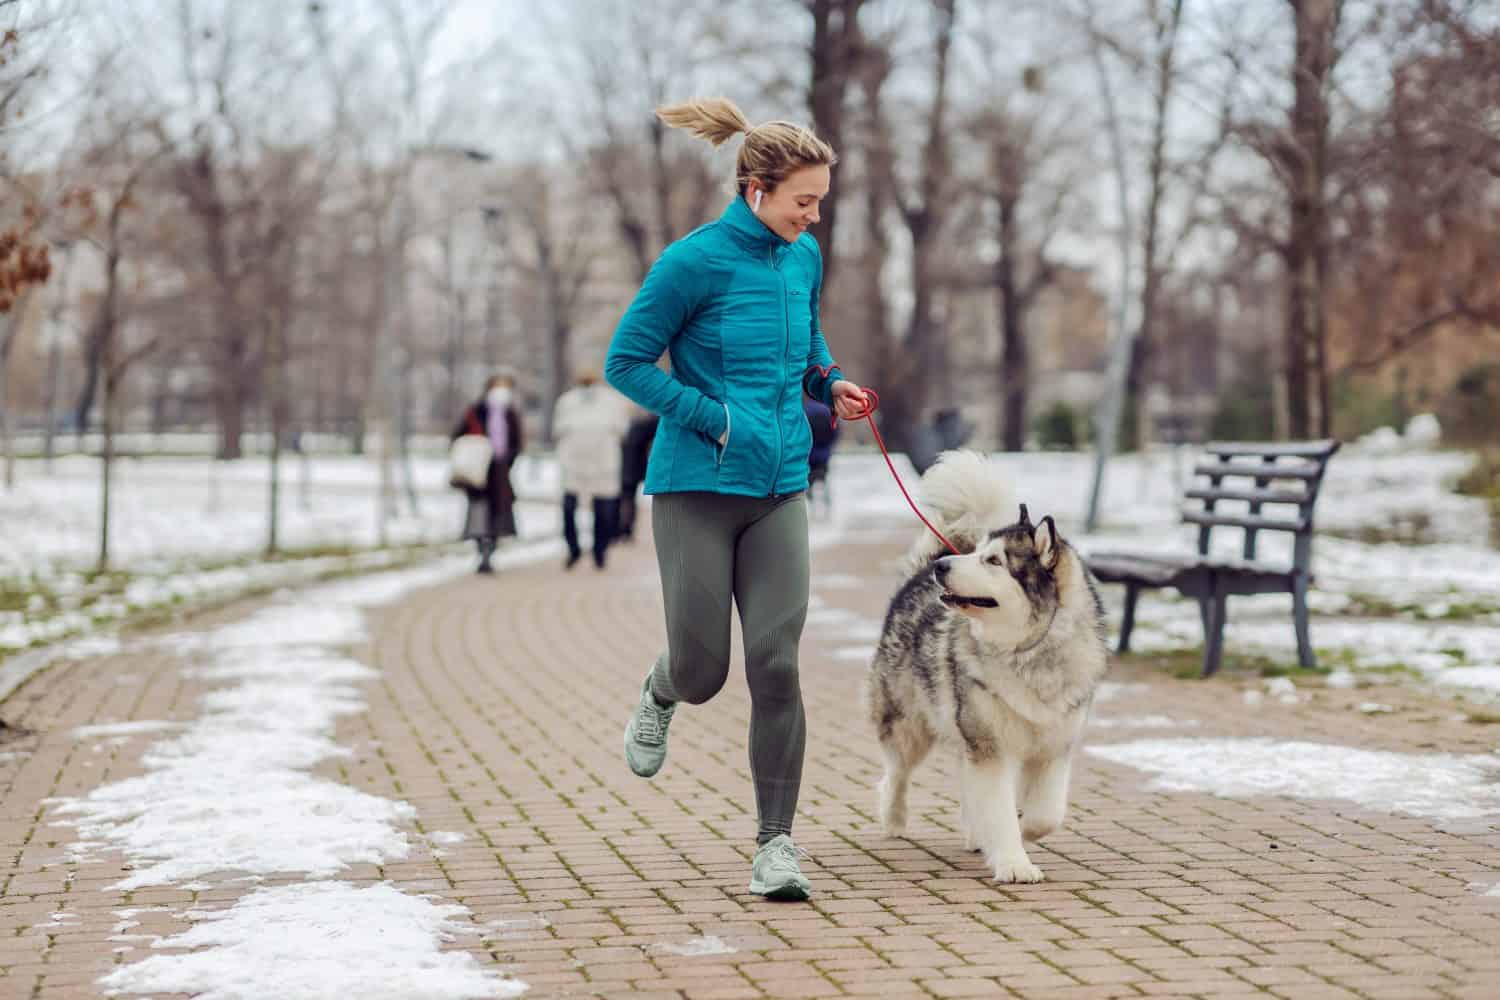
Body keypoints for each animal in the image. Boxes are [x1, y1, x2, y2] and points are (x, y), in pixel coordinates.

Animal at [864, 452, 1110, 881]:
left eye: (993, 560)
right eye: (979, 552)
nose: (944, 566)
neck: (1030, 652)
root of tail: (919, 572)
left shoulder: (1054, 747)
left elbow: (1046, 815)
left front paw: (1021, 831)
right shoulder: (990, 744)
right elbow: (999, 809)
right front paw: (1013, 861)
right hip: (911, 725)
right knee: (896, 771)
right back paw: (894, 818)